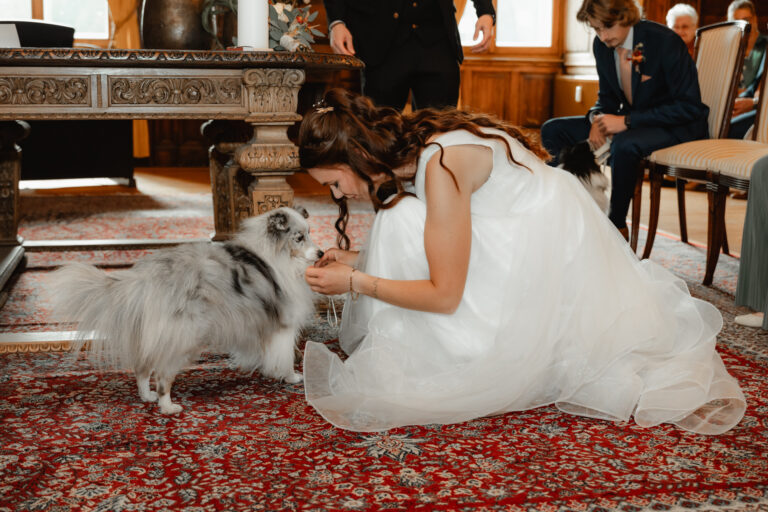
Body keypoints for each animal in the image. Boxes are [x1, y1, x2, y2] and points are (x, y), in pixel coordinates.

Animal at [50, 206, 320, 414]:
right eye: (299, 237)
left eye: (310, 233)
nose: (320, 253)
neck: (279, 254)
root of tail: (147, 278)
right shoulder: (284, 325)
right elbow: (285, 356)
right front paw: (292, 377)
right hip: (184, 338)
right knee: (162, 375)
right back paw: (168, 407)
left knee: (142, 368)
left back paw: (147, 396)